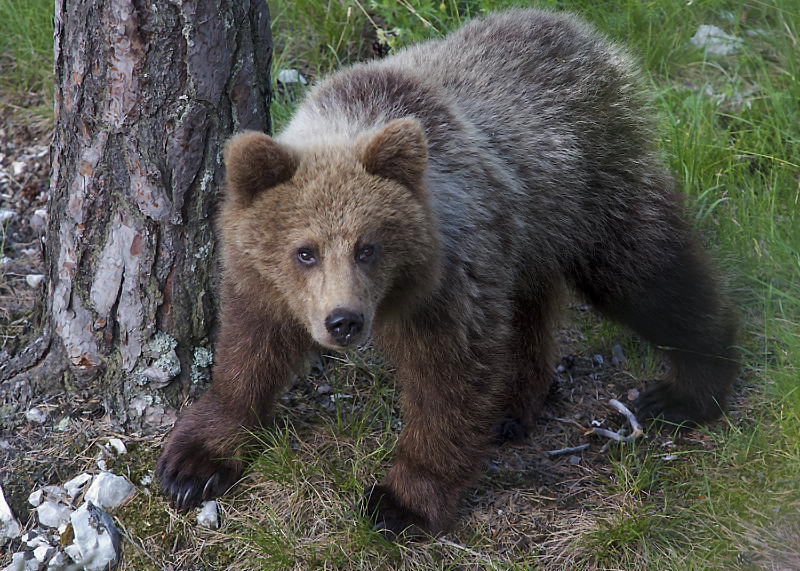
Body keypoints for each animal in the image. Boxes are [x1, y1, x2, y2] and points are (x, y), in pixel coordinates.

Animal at [159, 7, 740, 536]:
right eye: (305, 251)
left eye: (367, 247)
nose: (344, 320)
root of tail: (579, 32)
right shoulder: (264, 283)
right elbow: (249, 352)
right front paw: (194, 464)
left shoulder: (449, 278)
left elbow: (448, 382)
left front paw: (400, 502)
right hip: (526, 236)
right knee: (529, 310)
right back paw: (513, 404)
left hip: (593, 191)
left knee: (648, 273)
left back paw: (689, 387)